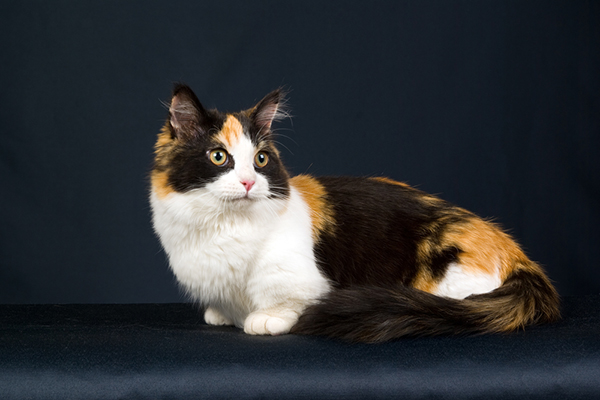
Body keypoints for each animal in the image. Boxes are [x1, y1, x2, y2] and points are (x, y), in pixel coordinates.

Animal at [149, 84, 556, 344]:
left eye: (261, 160)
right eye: (219, 156)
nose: (249, 182)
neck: (221, 225)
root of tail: (520, 258)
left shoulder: (299, 281)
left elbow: (284, 301)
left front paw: (264, 319)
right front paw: (221, 315)